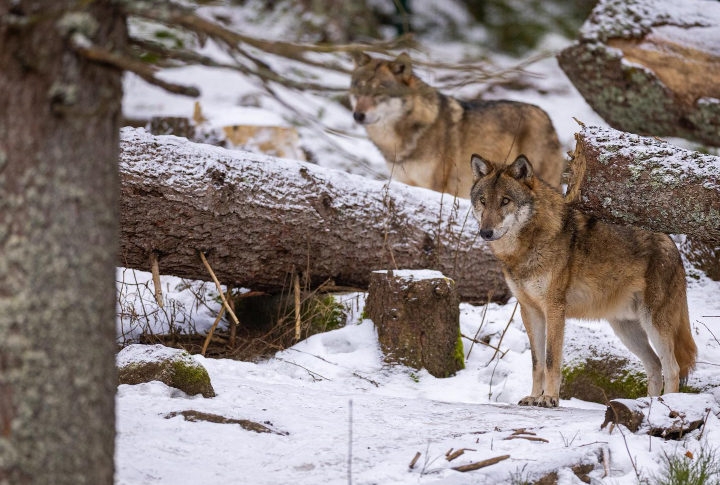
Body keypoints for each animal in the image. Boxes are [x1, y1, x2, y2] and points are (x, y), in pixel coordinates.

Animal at [350, 53, 568, 197]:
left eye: (379, 92)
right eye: (359, 88)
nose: (358, 115)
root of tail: (547, 116)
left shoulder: (436, 187)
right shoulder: (405, 182)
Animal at [470, 153, 696, 406]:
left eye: (505, 201)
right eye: (483, 201)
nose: (485, 232)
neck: (526, 247)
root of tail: (673, 244)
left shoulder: (554, 309)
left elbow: (551, 360)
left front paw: (549, 398)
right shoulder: (530, 311)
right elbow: (537, 363)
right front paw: (534, 397)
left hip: (653, 324)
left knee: (672, 368)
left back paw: (667, 404)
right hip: (626, 330)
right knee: (655, 367)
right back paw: (647, 405)